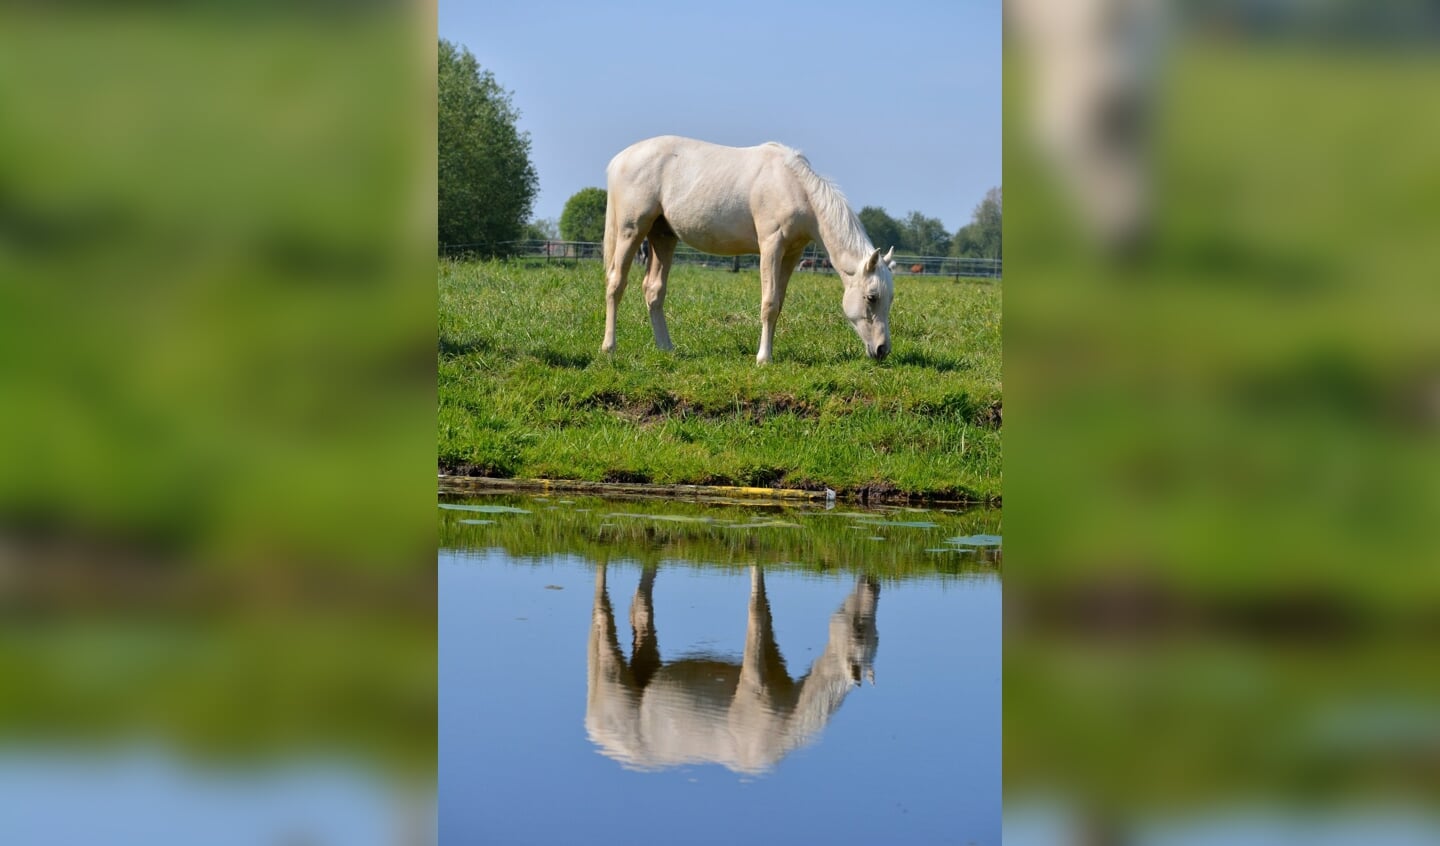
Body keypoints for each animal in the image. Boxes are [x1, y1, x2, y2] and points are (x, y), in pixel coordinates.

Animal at [584, 564, 875, 776]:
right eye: (859, 629)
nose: (873, 583)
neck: (788, 716)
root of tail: (595, 729)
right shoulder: (754, 675)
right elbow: (756, 607)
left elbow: (764, 612)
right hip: (612, 675)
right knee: (601, 612)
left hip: (645, 667)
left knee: (641, 607)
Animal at [593, 135, 887, 364]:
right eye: (871, 297)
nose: (883, 350)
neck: (794, 186)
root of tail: (620, 159)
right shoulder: (771, 247)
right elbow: (769, 303)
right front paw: (763, 359)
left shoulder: (791, 254)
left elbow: (778, 304)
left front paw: (768, 353)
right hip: (631, 231)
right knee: (615, 283)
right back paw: (609, 347)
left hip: (663, 236)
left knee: (653, 290)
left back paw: (667, 348)